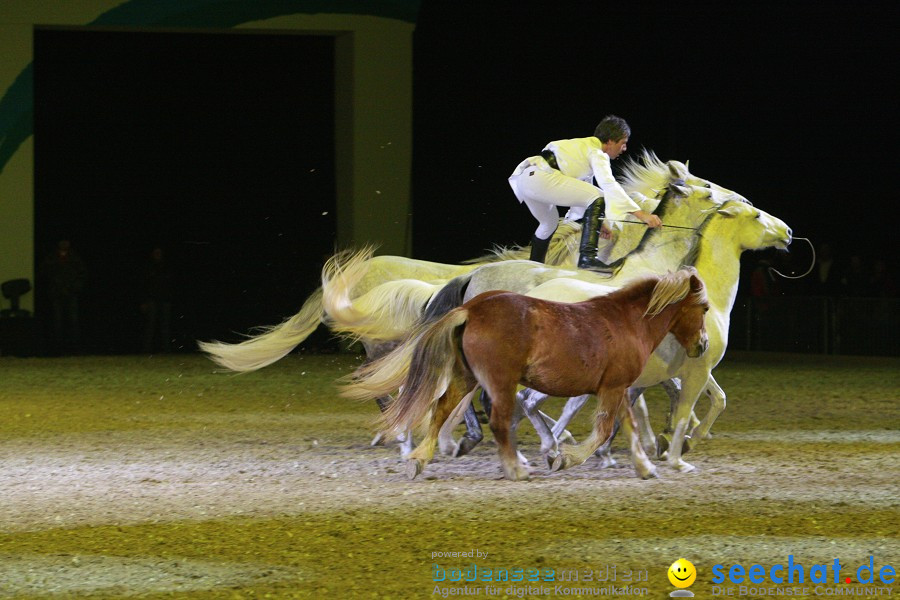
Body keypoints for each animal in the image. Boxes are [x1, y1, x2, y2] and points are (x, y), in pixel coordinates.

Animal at [376, 266, 708, 478]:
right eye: (704, 308)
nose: (703, 345)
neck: (626, 322)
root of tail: (471, 309)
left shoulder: (619, 387)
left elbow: (629, 427)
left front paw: (645, 468)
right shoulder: (613, 387)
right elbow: (603, 431)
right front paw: (564, 458)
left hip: (465, 376)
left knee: (442, 409)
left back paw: (419, 460)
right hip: (500, 382)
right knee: (497, 421)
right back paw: (517, 469)